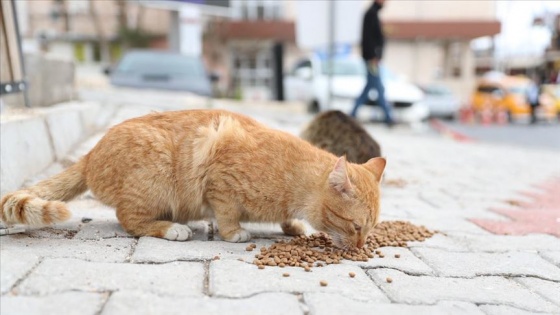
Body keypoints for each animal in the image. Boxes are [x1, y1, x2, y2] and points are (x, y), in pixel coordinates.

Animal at [1, 110, 384, 248]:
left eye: (369, 229)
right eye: (355, 227)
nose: (361, 246)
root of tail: (91, 154)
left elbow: (287, 217)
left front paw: (292, 226)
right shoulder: (221, 183)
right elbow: (227, 215)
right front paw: (234, 233)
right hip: (154, 175)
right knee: (129, 220)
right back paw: (173, 228)